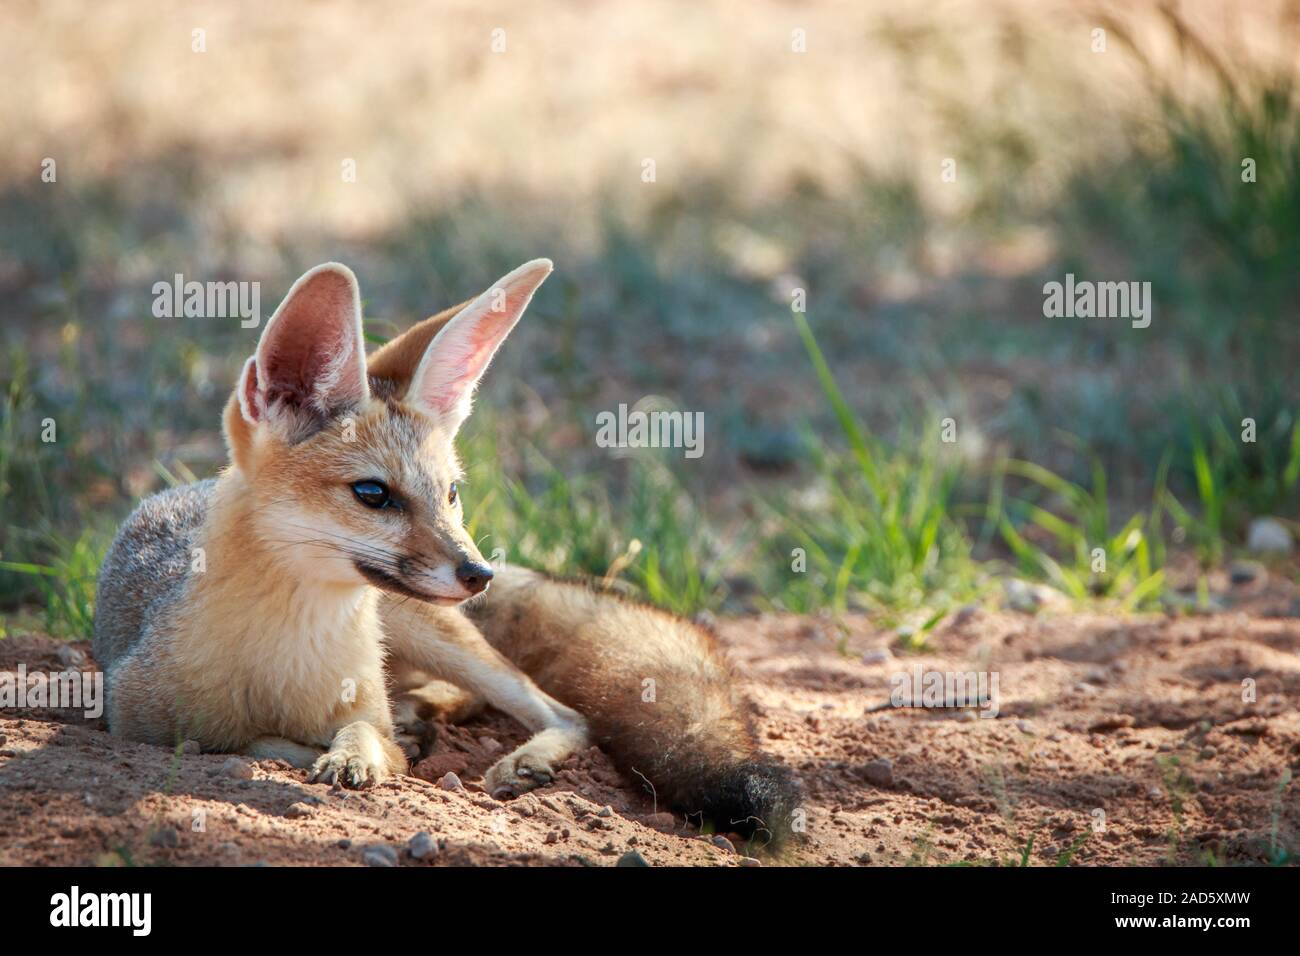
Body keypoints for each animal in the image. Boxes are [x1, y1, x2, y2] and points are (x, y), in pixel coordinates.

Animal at [93, 258, 800, 842]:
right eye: (374, 493)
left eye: (452, 493)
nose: (477, 572)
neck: (286, 658)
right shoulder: (139, 724)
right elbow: (249, 743)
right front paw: (327, 749)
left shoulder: (362, 705)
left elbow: (364, 733)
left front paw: (355, 752)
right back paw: (424, 714)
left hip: (436, 633)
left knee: (564, 713)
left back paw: (511, 756)